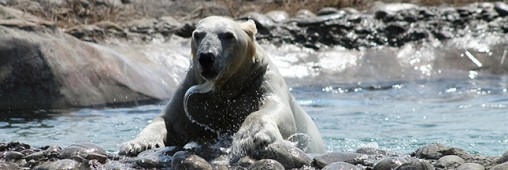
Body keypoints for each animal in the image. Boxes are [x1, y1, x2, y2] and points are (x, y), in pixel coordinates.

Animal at [119, 16, 326, 157]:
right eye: (197, 34)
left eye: (228, 35)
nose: (206, 57)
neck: (226, 86)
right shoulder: (192, 86)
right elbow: (171, 121)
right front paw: (136, 144)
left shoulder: (261, 79)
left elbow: (275, 108)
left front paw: (249, 137)